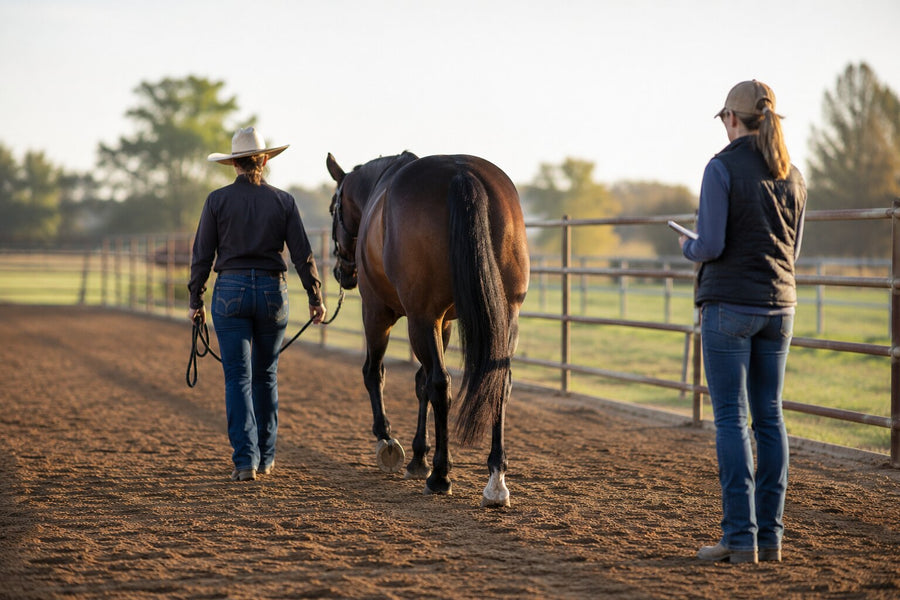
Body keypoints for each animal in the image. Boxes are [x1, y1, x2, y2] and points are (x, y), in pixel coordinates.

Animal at [326, 151, 529, 508]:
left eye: (332, 208)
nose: (342, 272)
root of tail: (462, 173)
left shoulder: (378, 312)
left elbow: (375, 373)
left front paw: (387, 441)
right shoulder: (443, 322)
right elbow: (420, 382)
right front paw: (418, 456)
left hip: (417, 318)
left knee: (440, 384)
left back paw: (441, 476)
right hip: (505, 317)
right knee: (497, 384)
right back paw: (495, 479)